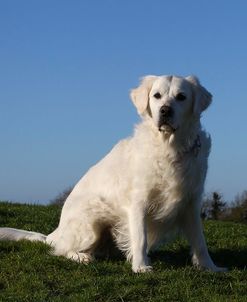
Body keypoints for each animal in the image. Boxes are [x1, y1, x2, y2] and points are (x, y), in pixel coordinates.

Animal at [0, 75, 226, 274]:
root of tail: (55, 233)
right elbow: (140, 237)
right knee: (62, 250)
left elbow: (200, 241)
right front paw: (141, 267)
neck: (170, 148)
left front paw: (210, 267)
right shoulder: (138, 201)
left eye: (181, 97)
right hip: (91, 221)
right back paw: (82, 256)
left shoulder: (191, 201)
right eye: (157, 95)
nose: (165, 110)